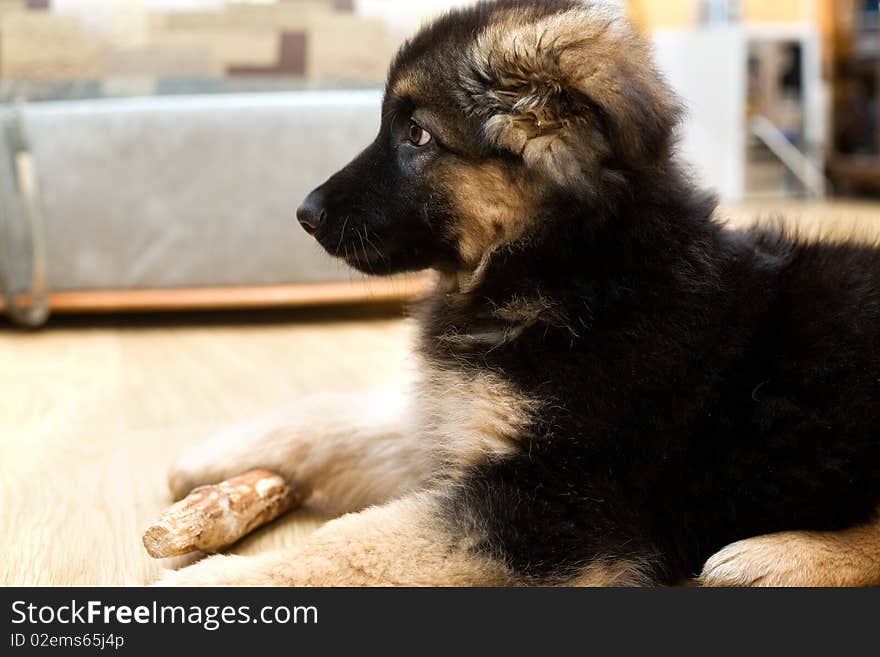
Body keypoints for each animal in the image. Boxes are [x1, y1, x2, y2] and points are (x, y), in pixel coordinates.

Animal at [160, 0, 880, 584]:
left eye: (416, 134)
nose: (305, 213)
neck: (565, 268)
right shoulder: (462, 422)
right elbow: (343, 416)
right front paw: (218, 454)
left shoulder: (546, 504)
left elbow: (351, 544)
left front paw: (211, 582)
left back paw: (772, 558)